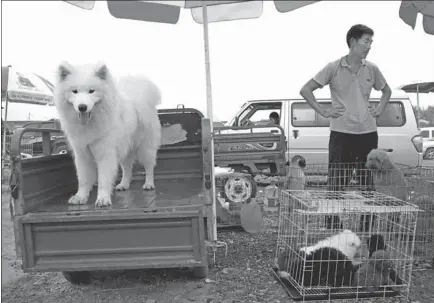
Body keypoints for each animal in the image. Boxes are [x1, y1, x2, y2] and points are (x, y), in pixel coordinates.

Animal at [53, 62, 162, 208]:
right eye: (74, 91)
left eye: (91, 91)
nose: (82, 107)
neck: (90, 123)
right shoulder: (82, 155)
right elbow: (83, 179)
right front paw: (80, 197)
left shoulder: (105, 154)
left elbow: (104, 179)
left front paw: (103, 198)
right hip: (124, 149)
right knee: (127, 168)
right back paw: (123, 184)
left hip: (145, 149)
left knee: (149, 167)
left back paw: (149, 184)